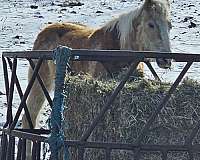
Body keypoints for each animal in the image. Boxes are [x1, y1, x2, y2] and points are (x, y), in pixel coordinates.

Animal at [22, 0, 172, 158]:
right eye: (151, 24)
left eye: (169, 25)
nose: (166, 60)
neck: (115, 49)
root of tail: (44, 32)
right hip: (40, 82)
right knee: (30, 117)